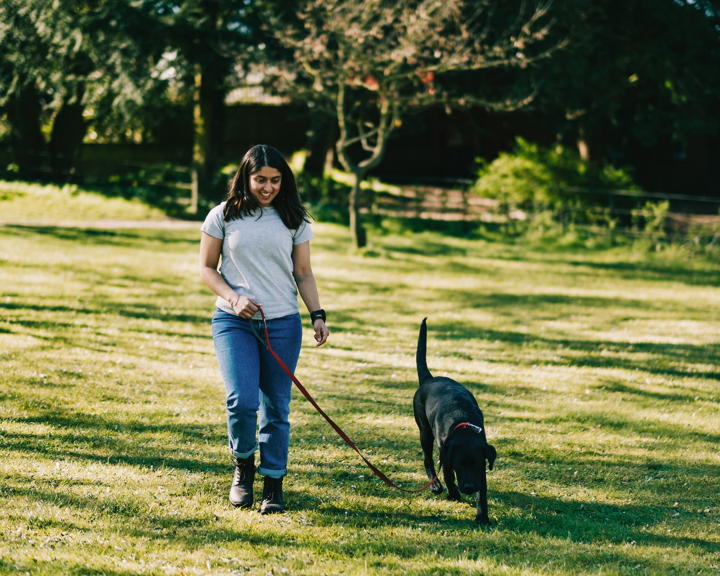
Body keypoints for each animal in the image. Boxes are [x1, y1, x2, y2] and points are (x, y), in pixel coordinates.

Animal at [410, 318, 496, 524]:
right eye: (459, 465)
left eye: (476, 464)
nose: (469, 488)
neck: (463, 425)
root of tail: (429, 378)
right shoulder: (446, 454)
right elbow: (449, 475)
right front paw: (453, 493)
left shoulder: (482, 464)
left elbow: (483, 492)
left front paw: (482, 516)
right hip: (425, 431)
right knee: (427, 459)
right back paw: (436, 486)